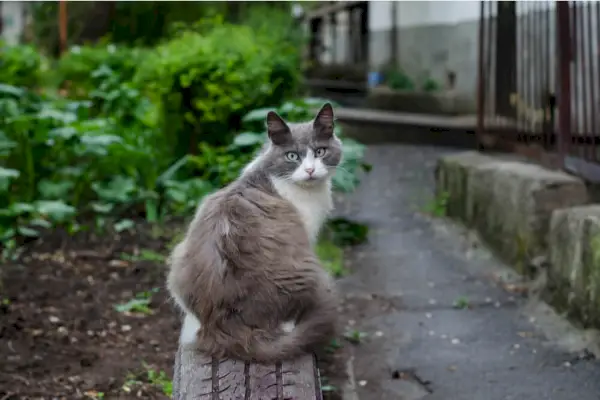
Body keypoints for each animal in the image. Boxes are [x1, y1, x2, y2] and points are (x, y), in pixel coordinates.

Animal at [166, 102, 342, 362]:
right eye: (292, 156)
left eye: (320, 152)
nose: (310, 170)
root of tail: (223, 329)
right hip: (308, 267)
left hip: (178, 257)